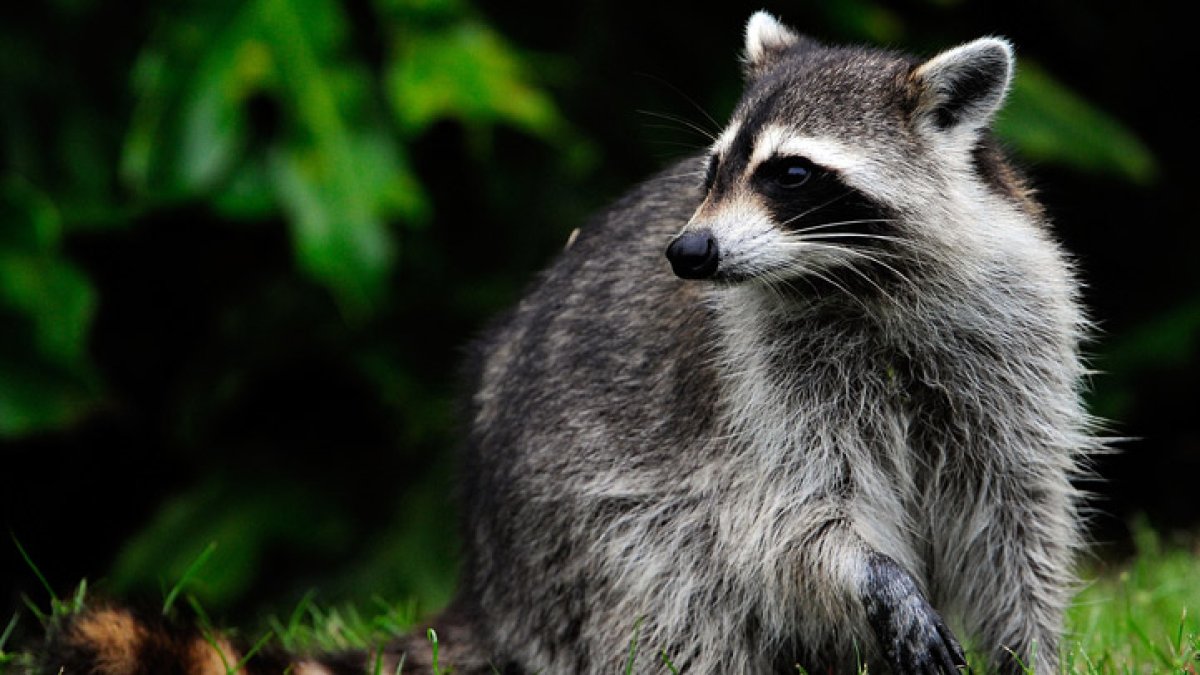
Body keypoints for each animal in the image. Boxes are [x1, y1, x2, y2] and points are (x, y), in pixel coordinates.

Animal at [39, 12, 1094, 675]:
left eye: (792, 174)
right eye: (712, 168)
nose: (688, 251)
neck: (856, 278)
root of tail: (487, 581)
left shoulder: (1013, 332)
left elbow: (1019, 514)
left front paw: (1027, 650)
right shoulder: (760, 385)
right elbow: (789, 519)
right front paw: (875, 577)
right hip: (577, 535)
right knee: (678, 591)